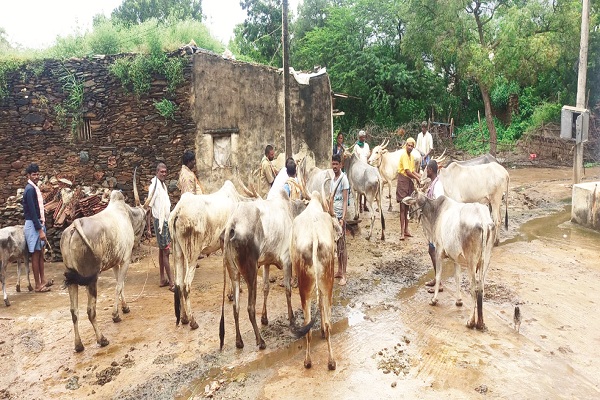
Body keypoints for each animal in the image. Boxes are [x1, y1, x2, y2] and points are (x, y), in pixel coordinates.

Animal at [60, 170, 147, 352]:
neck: (127, 215)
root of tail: (74, 226)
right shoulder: (125, 259)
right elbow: (119, 286)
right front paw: (116, 315)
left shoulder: (115, 262)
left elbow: (120, 286)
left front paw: (124, 307)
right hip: (91, 279)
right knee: (90, 311)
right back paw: (102, 339)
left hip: (72, 280)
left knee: (74, 312)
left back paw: (78, 345)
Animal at [169, 180, 255, 330]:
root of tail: (178, 210)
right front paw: (234, 292)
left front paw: (232, 293)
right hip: (192, 255)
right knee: (186, 285)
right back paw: (193, 321)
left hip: (178, 253)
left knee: (178, 284)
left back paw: (184, 318)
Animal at [219, 189, 308, 348]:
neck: (291, 211)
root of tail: (231, 225)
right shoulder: (287, 261)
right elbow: (288, 290)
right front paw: (292, 319)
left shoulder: (266, 262)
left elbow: (266, 288)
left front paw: (265, 318)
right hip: (251, 272)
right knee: (250, 307)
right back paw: (260, 341)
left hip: (234, 273)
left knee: (236, 307)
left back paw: (239, 341)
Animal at [290, 191, 342, 368]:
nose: (340, 233)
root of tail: (314, 237)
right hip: (326, 282)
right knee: (325, 322)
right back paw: (330, 361)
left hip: (306, 287)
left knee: (309, 326)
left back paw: (309, 361)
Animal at [400, 192, 494, 330]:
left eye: (412, 199)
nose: (409, 215)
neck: (435, 212)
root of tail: (483, 221)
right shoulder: (456, 258)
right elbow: (457, 278)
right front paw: (459, 301)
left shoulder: (439, 251)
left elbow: (438, 275)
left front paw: (434, 299)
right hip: (485, 261)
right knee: (481, 288)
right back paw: (481, 323)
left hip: (471, 263)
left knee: (474, 288)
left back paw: (471, 321)